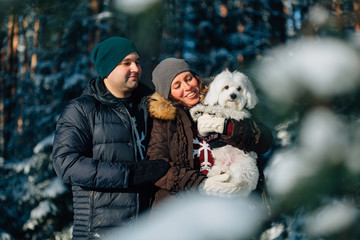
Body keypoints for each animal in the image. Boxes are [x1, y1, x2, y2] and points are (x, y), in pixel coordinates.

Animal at [191, 69, 258, 197]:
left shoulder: (240, 114)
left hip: (244, 166)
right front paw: (198, 111)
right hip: (219, 165)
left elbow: (225, 110)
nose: (233, 95)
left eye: (239, 88)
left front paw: (213, 110)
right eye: (226, 87)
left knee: (237, 177)